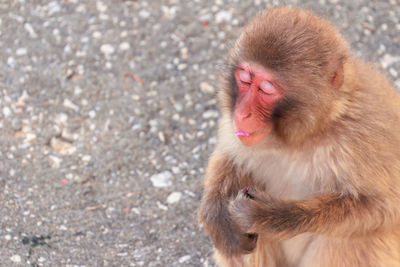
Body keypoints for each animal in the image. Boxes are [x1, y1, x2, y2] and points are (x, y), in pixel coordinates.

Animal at [198, 6, 400, 267]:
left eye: (266, 89)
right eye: (244, 80)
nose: (241, 113)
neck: (300, 138)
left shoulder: (361, 137)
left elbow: (385, 209)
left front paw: (272, 215)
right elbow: (230, 156)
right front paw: (217, 217)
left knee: (350, 239)